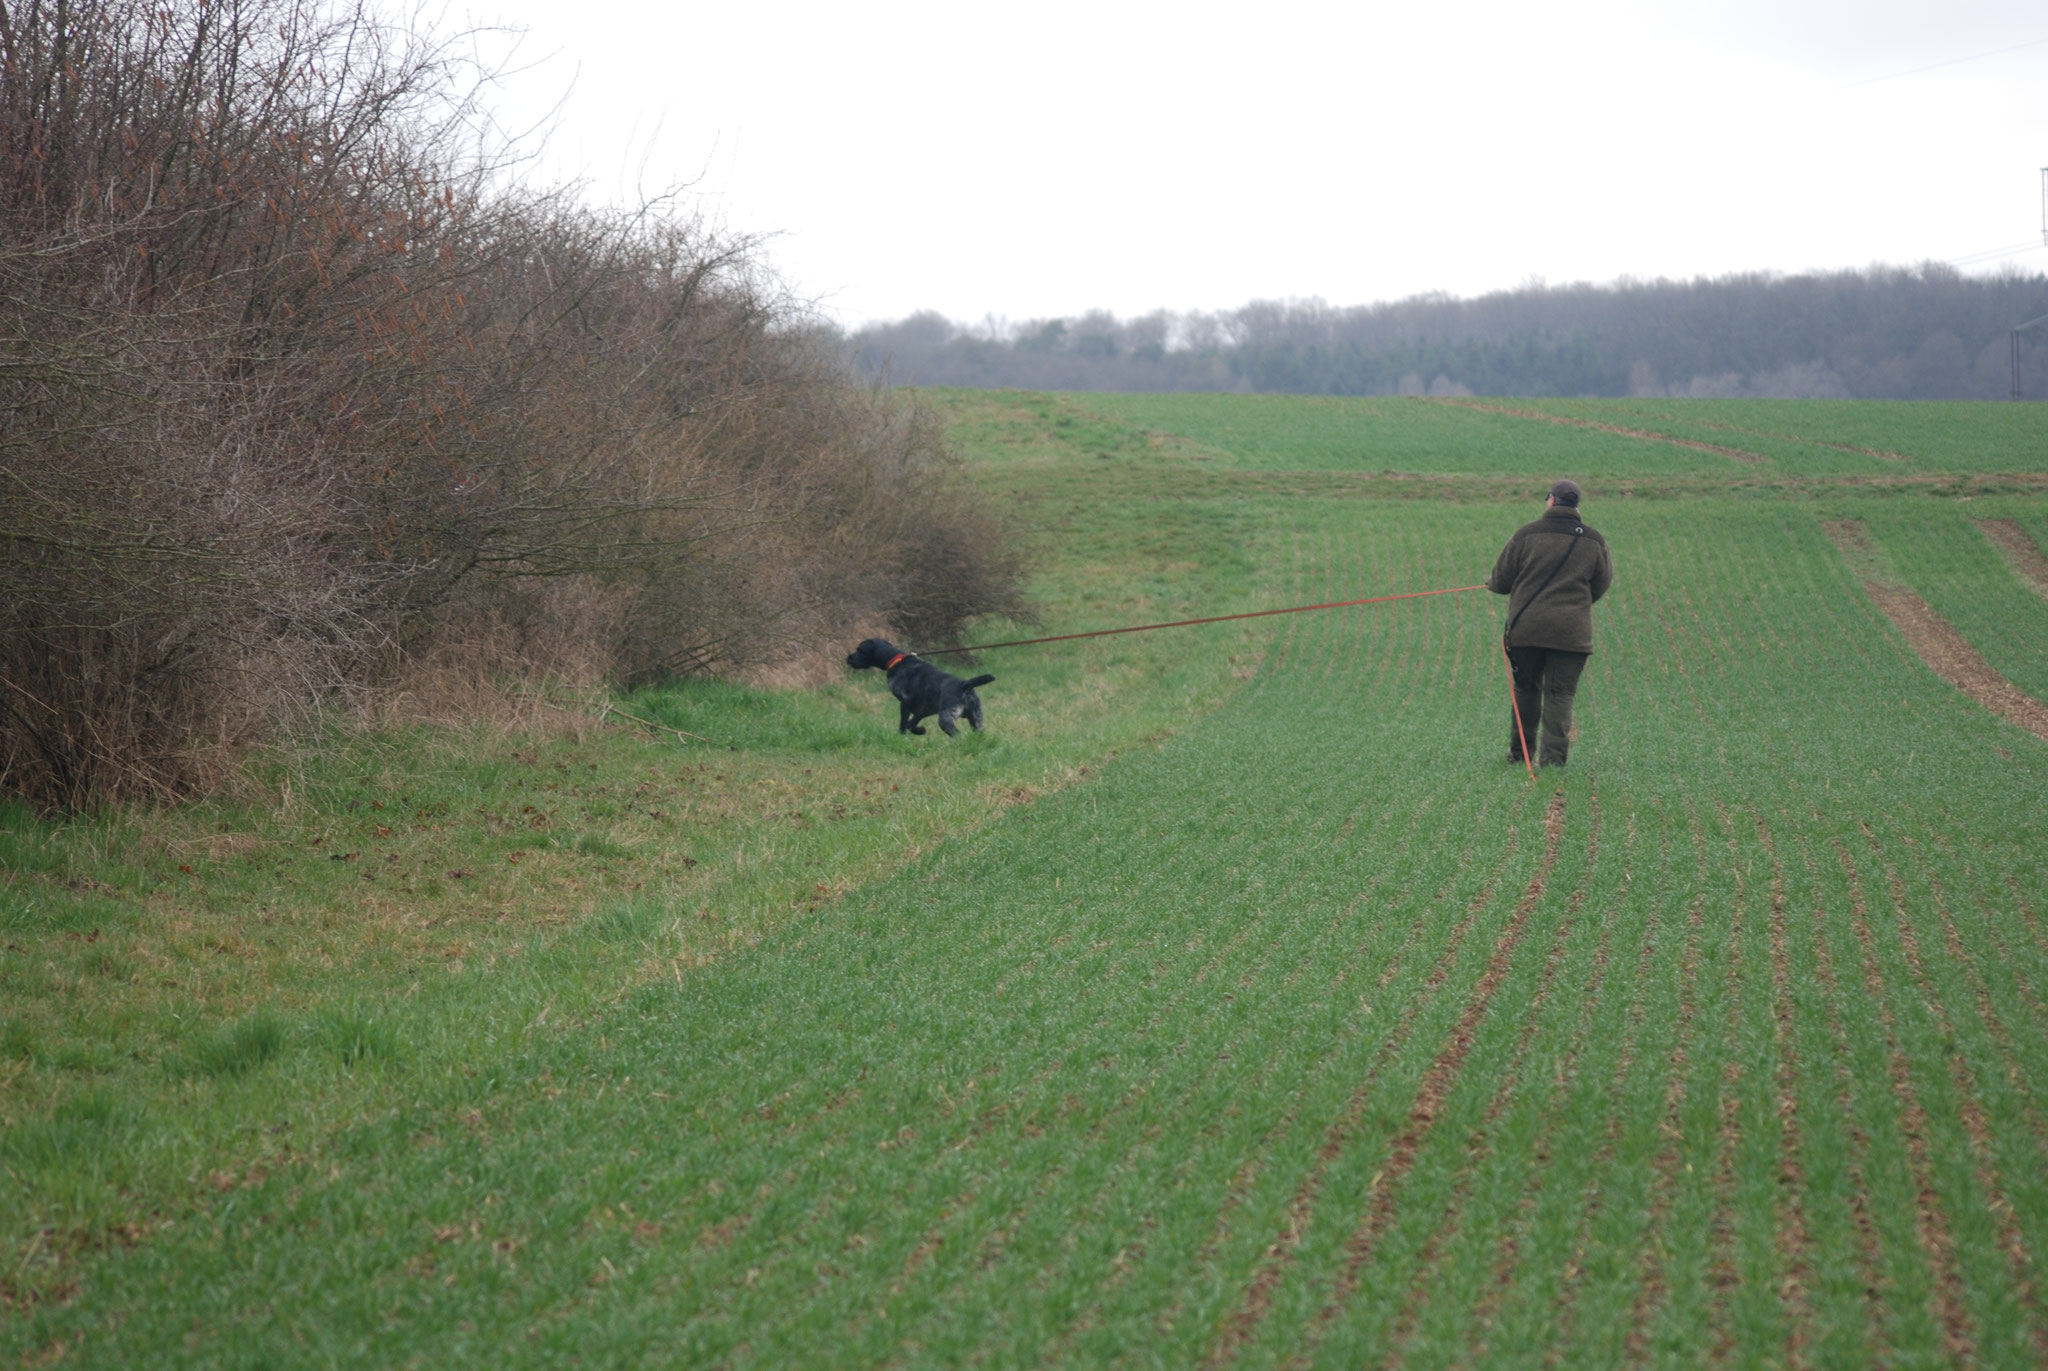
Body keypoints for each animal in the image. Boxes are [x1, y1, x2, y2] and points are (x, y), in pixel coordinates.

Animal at [843, 639, 995, 737]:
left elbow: (904, 723)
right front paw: (920, 730)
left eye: (860, 650)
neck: (896, 662)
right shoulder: (924, 709)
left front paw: (901, 736)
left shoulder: (905, 702)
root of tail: (964, 685)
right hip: (976, 719)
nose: (848, 658)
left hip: (945, 719)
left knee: (957, 734)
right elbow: (912, 723)